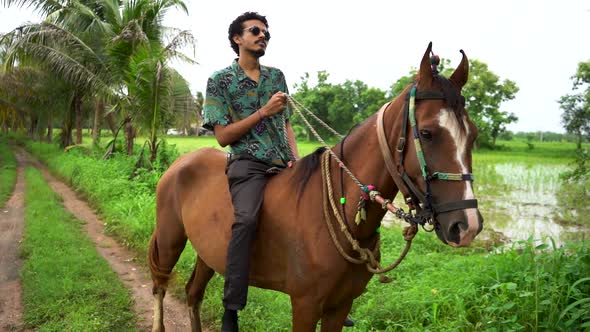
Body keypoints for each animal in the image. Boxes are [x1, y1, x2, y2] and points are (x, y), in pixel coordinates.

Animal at [149, 42, 486, 330]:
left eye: (473, 134)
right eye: (427, 133)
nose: (466, 225)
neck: (344, 218)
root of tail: (180, 163)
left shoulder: (340, 305)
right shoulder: (305, 305)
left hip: (209, 252)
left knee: (192, 292)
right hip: (170, 239)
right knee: (160, 285)